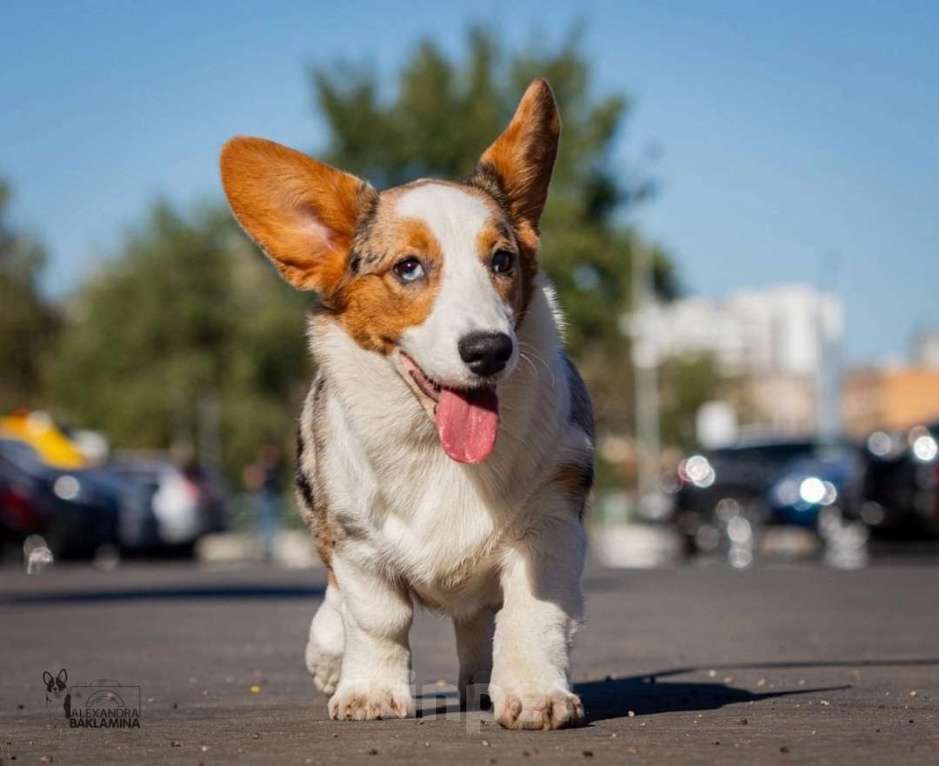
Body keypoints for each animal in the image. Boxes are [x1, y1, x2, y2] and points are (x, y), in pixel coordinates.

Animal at [220, 78, 596, 732]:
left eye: (502, 261)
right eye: (409, 268)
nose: (490, 350)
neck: (436, 449)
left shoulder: (549, 524)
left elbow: (529, 614)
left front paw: (535, 693)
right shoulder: (358, 544)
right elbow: (376, 620)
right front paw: (369, 691)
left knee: (478, 624)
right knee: (338, 605)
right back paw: (329, 657)